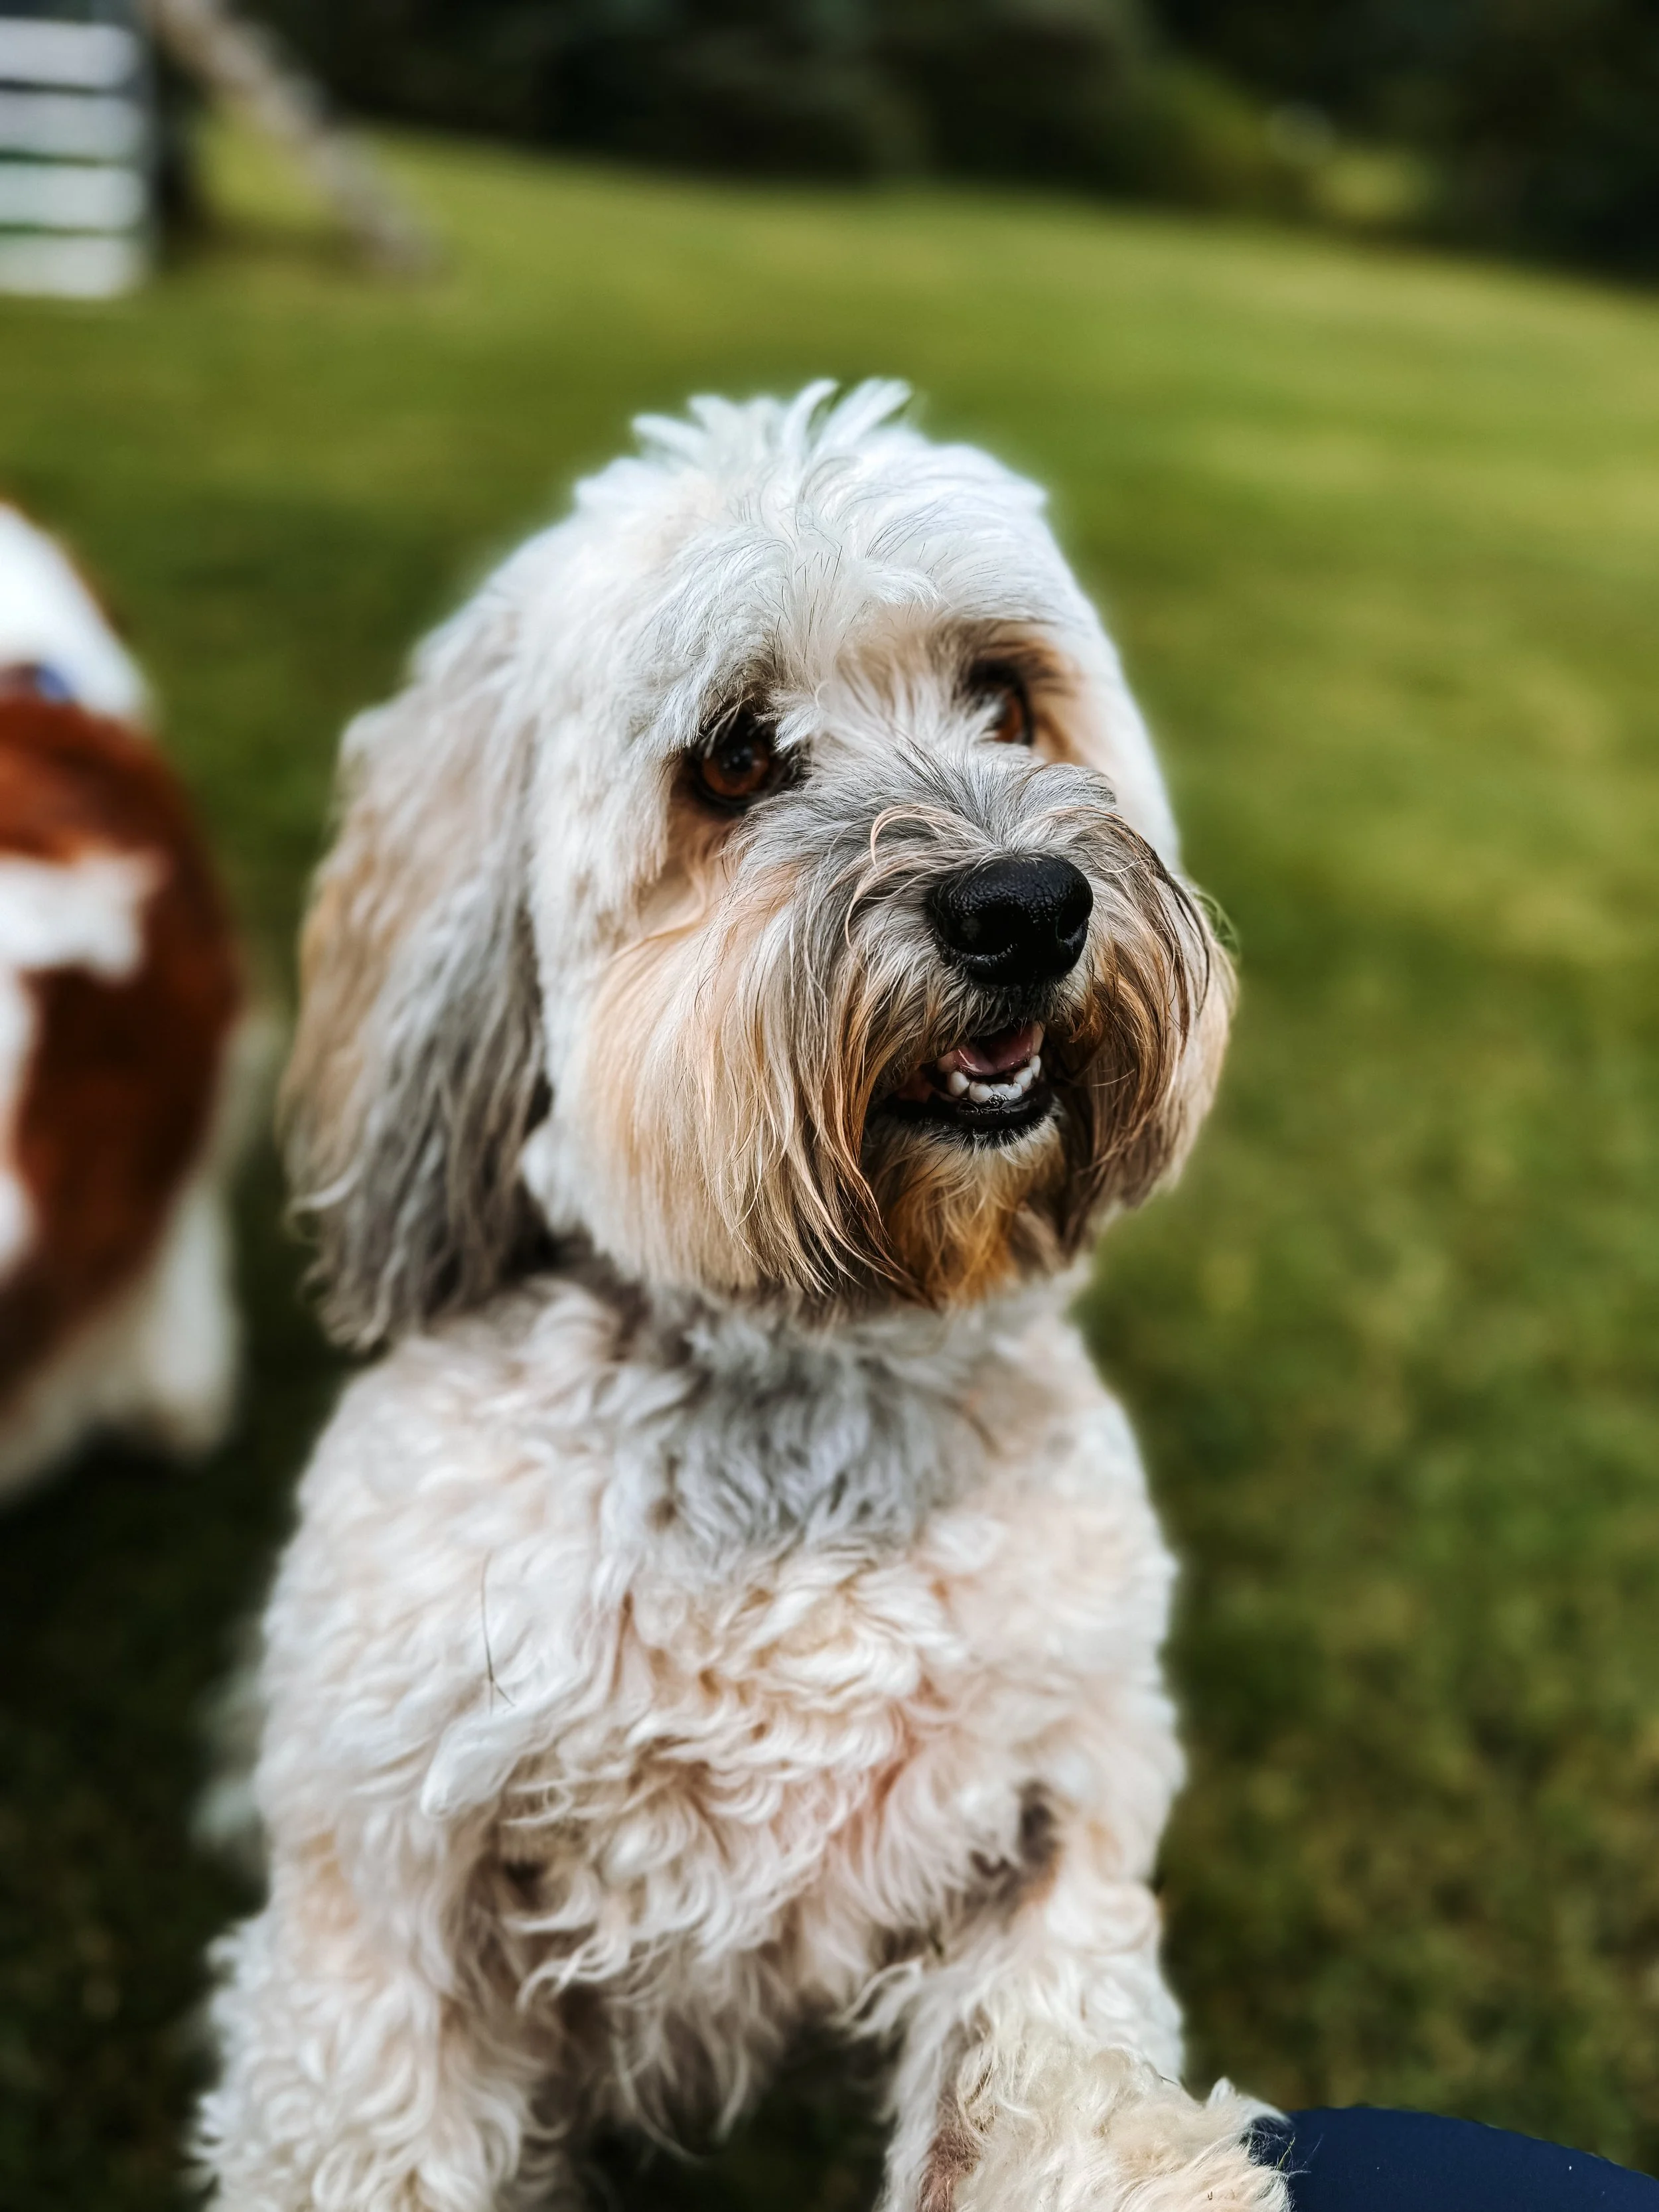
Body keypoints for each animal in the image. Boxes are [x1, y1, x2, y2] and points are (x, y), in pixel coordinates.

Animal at [198, 383, 1284, 2212]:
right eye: (732, 756)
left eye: (1005, 693)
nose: (1025, 905)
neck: (806, 1365)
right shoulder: (390, 1886)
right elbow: (370, 2123)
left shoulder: (1052, 1807)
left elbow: (1051, 2046)